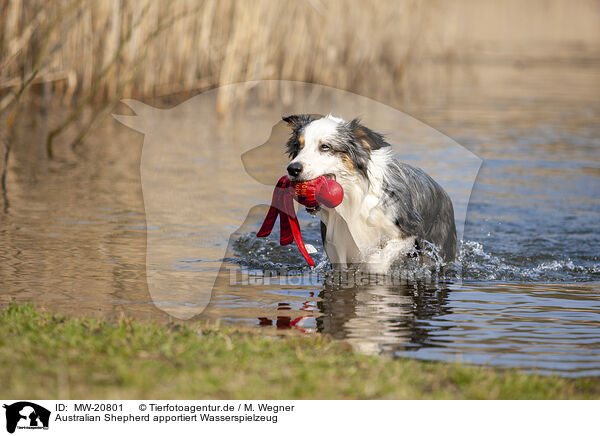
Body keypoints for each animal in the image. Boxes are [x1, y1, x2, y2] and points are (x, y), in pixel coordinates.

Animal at [282, 115, 454, 272]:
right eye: (298, 146)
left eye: (325, 147)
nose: (293, 169)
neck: (352, 198)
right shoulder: (337, 249)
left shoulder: (409, 230)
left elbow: (375, 261)